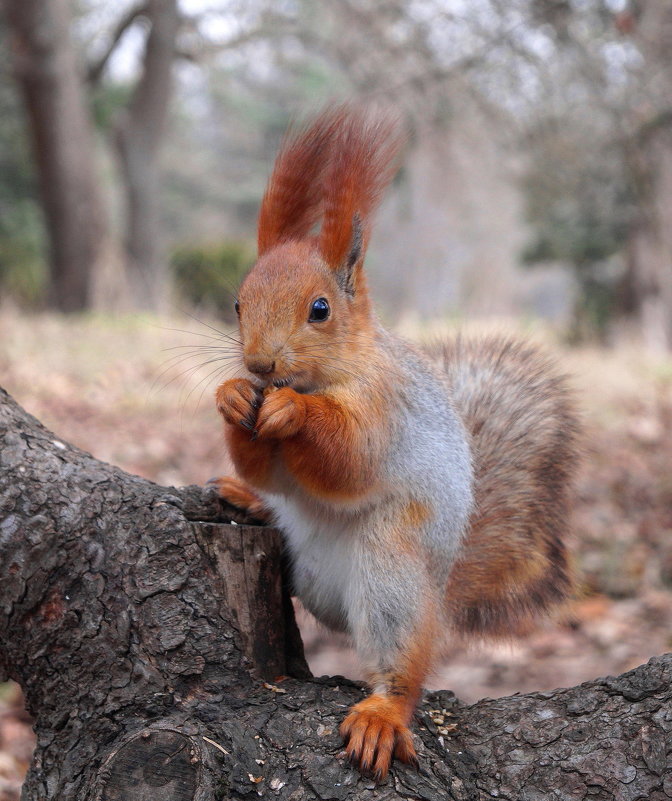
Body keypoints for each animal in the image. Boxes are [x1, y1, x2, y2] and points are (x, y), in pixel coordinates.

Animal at [213, 103, 580, 780]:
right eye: (237, 303)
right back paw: (242, 499)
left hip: (391, 568)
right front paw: (230, 398)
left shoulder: (386, 413)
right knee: (277, 515)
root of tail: (440, 586)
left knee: (401, 665)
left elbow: (348, 460)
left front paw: (294, 412)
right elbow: (266, 470)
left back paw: (382, 715)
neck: (328, 374)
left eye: (321, 309)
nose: (259, 364)